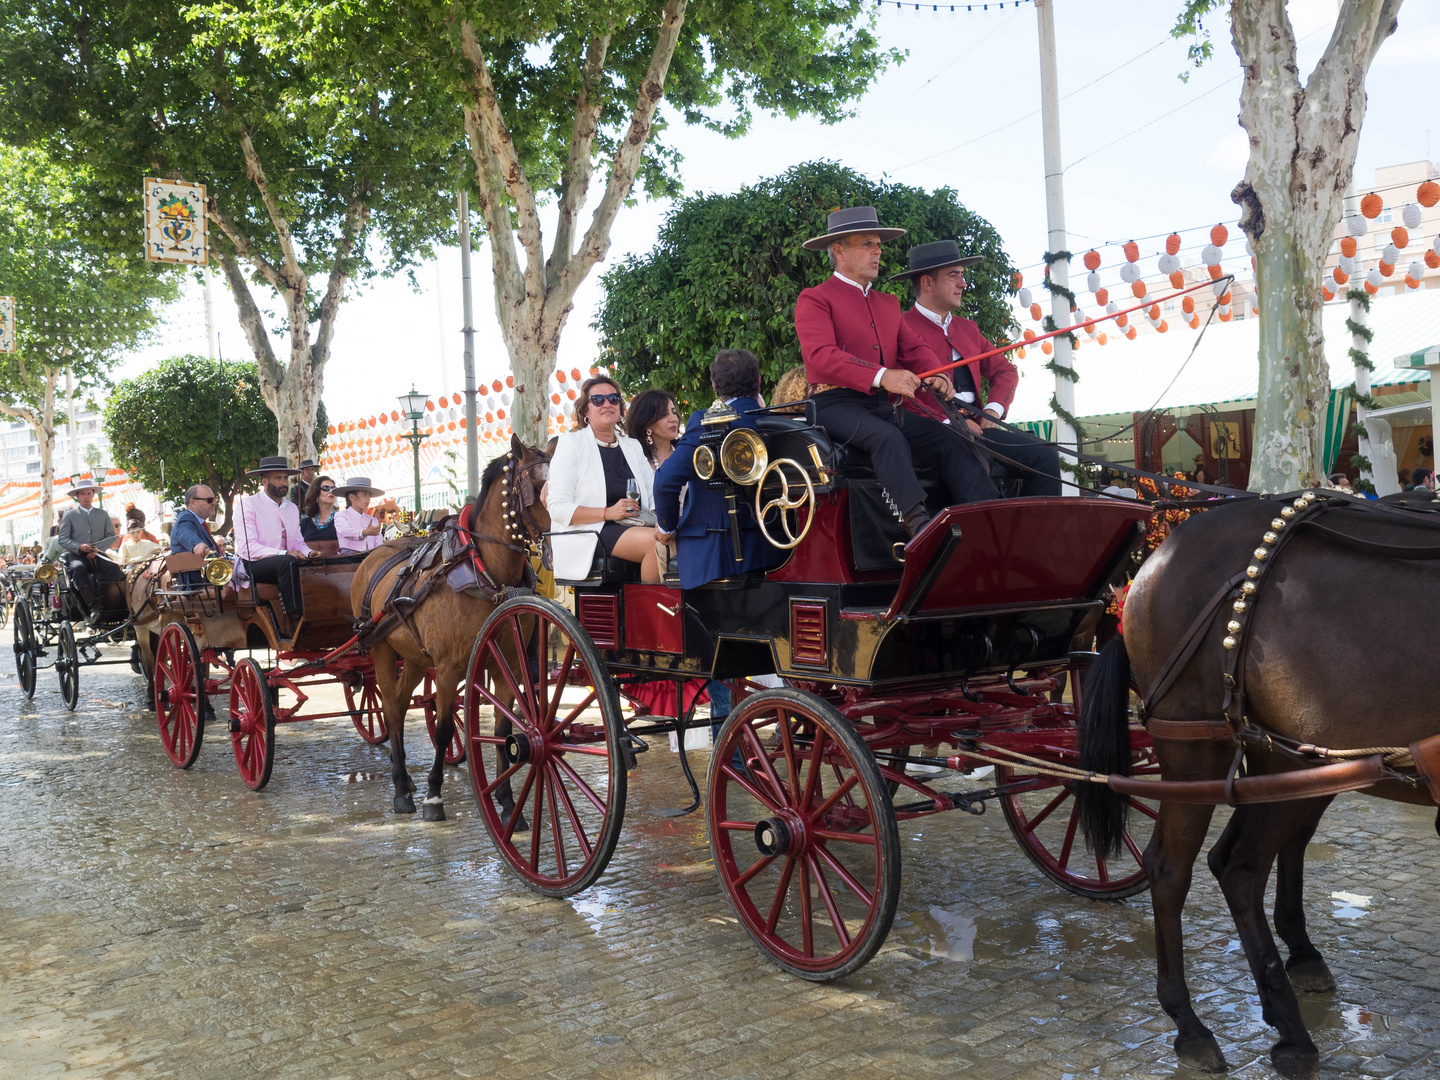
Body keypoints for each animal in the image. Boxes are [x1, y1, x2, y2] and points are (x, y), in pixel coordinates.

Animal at [351, 434, 547, 823]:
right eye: (532, 487)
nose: (550, 529)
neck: (484, 570)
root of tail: (374, 554)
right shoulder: (448, 667)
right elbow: (442, 731)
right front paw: (433, 797)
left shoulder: (507, 665)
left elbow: (503, 729)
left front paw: (505, 802)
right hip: (380, 647)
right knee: (390, 708)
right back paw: (402, 789)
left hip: (413, 656)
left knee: (399, 702)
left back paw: (404, 778)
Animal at [1077, 498, 1434, 1080]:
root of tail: (1156, 558)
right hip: (1193, 751)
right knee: (1187, 868)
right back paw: (1207, 1027)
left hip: (1289, 755)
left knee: (1246, 858)